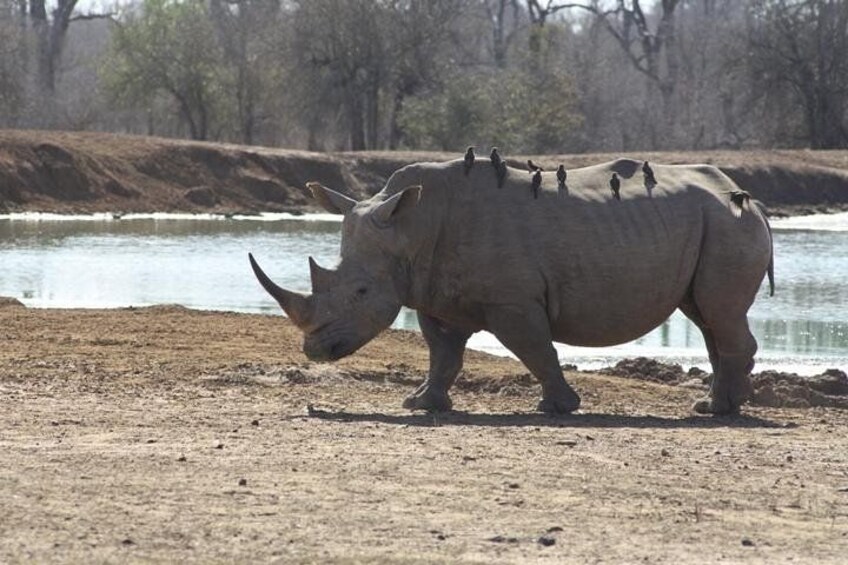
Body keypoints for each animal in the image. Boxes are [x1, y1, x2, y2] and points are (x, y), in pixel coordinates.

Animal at [249, 158, 774, 415]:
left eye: (359, 293)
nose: (315, 351)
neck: (409, 227)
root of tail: (751, 200)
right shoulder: (436, 294)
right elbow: (443, 353)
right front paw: (421, 403)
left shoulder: (512, 301)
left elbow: (535, 349)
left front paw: (559, 407)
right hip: (710, 226)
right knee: (706, 317)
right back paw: (715, 406)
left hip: (727, 226)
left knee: (719, 315)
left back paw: (719, 412)